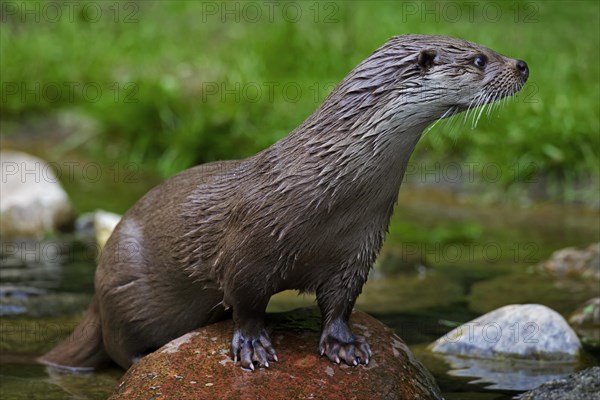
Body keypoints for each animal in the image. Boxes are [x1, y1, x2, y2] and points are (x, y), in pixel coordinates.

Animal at [39, 34, 528, 372]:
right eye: (480, 59)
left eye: (488, 48)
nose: (523, 64)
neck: (332, 189)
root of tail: (96, 290)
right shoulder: (247, 249)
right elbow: (246, 301)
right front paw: (254, 346)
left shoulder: (360, 244)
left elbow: (341, 301)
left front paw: (343, 344)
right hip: (124, 290)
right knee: (118, 344)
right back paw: (142, 358)